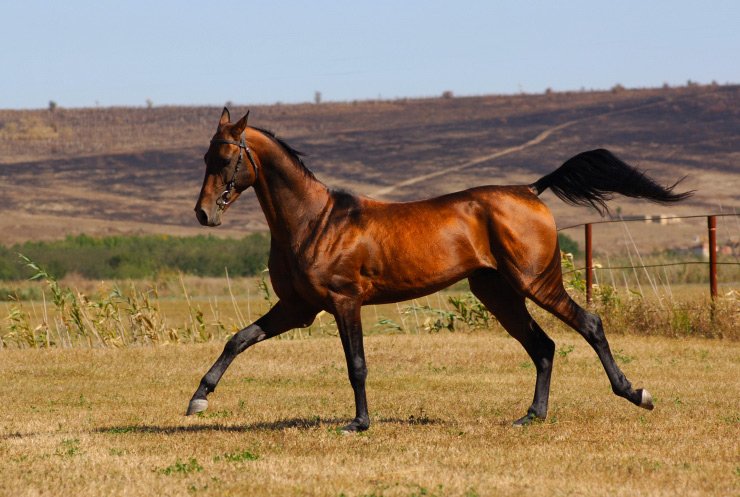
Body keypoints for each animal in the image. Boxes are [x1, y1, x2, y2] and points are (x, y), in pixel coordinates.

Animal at [186, 108, 692, 430]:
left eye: (227, 158)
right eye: (205, 157)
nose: (204, 214)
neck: (315, 221)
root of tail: (530, 190)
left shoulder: (344, 302)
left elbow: (357, 364)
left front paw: (359, 423)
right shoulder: (297, 308)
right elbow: (238, 339)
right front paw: (198, 399)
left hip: (536, 283)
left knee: (589, 324)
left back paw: (635, 394)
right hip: (498, 293)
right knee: (543, 346)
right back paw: (531, 416)